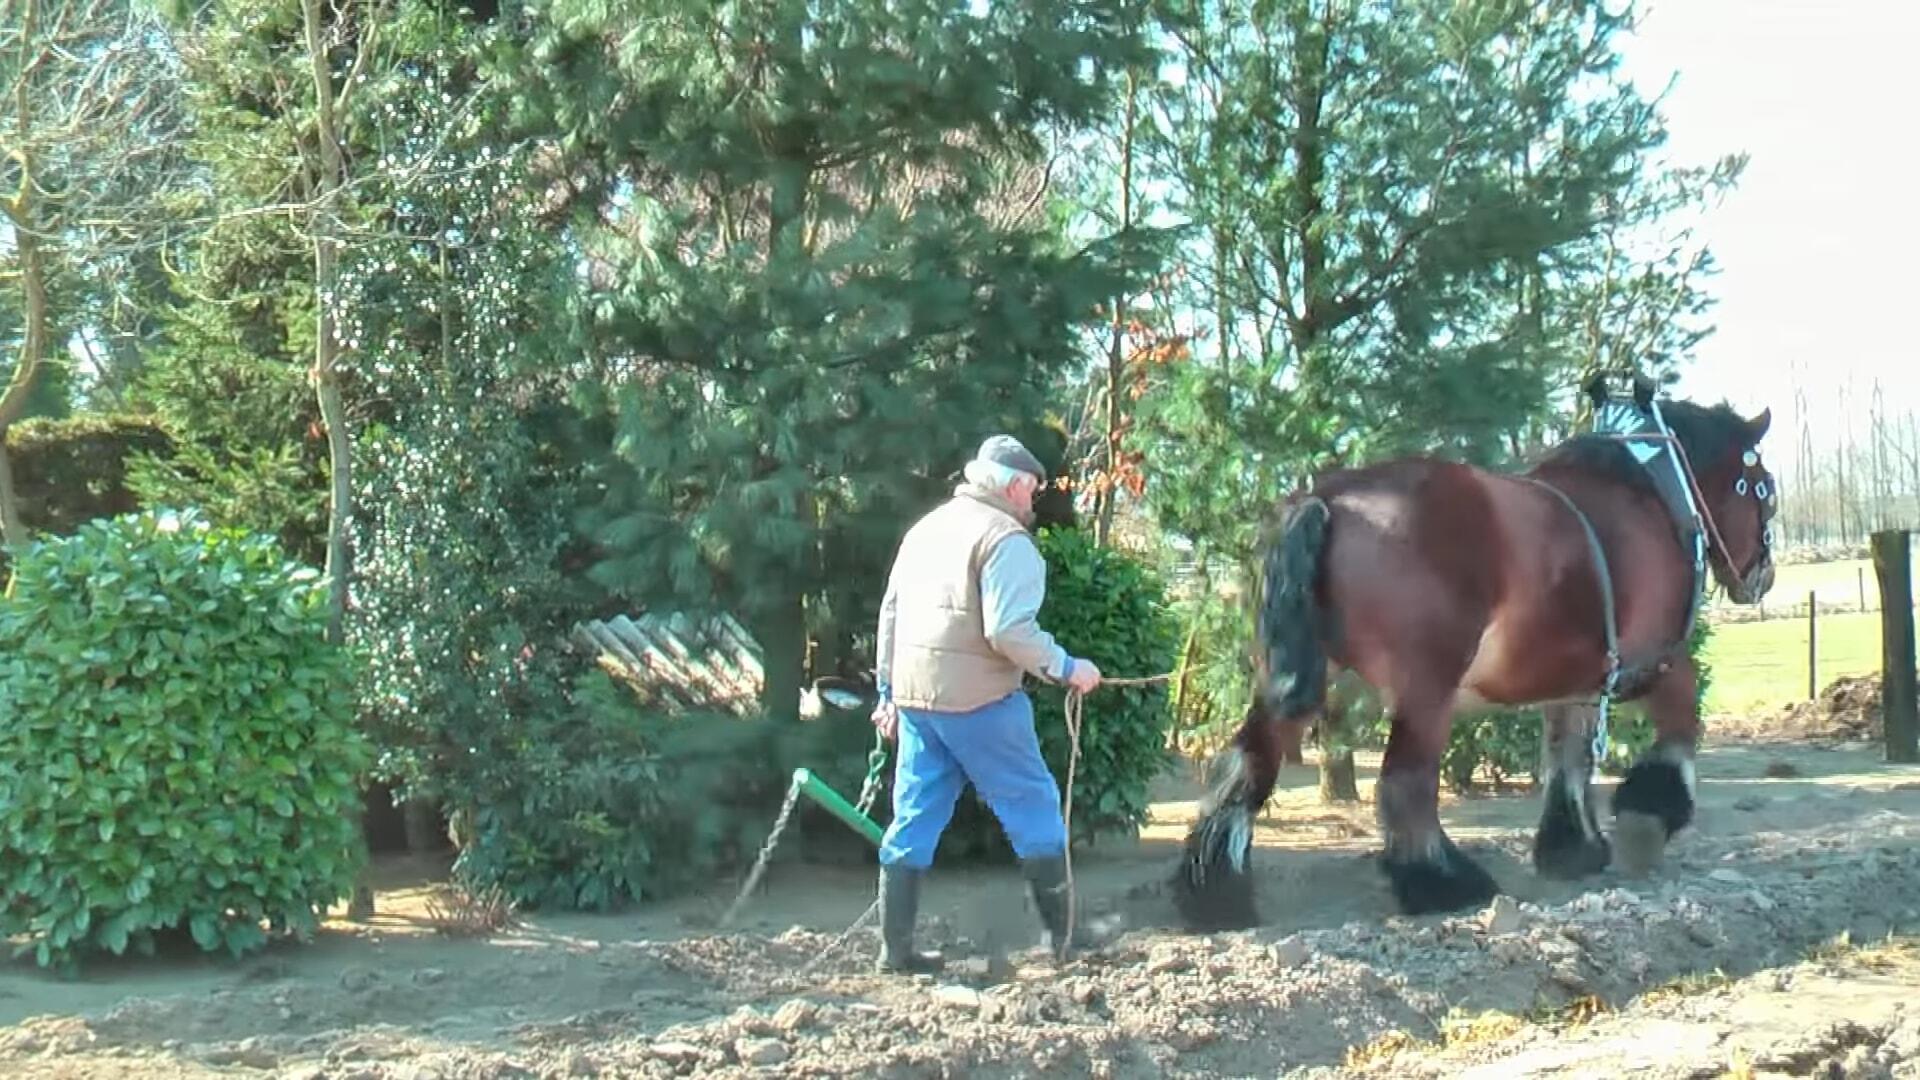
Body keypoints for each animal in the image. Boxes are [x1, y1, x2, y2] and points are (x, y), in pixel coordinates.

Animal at [1167, 374, 1781, 922]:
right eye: (1765, 491)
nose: (1763, 576)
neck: (1648, 496)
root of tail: (1328, 500)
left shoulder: (1582, 680)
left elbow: (1569, 756)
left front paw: (1572, 848)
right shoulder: (1651, 659)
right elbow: (1682, 716)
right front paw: (1648, 813)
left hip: (1300, 676)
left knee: (1247, 761)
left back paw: (1215, 890)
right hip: (1425, 689)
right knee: (1405, 783)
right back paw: (1444, 882)